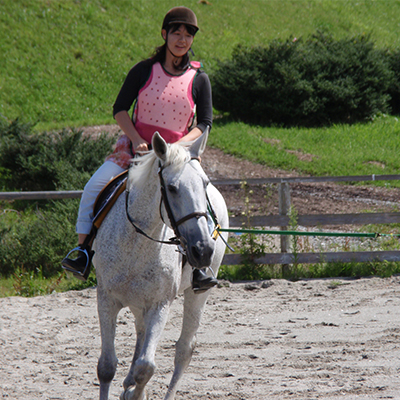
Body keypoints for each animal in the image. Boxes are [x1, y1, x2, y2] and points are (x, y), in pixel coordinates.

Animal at [93, 129, 228, 400]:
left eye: (204, 185)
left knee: (184, 349)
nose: (203, 250)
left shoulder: (159, 304)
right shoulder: (106, 299)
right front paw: (128, 388)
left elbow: (146, 367)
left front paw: (135, 392)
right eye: (173, 188)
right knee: (140, 332)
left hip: (197, 295)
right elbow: (107, 367)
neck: (137, 243)